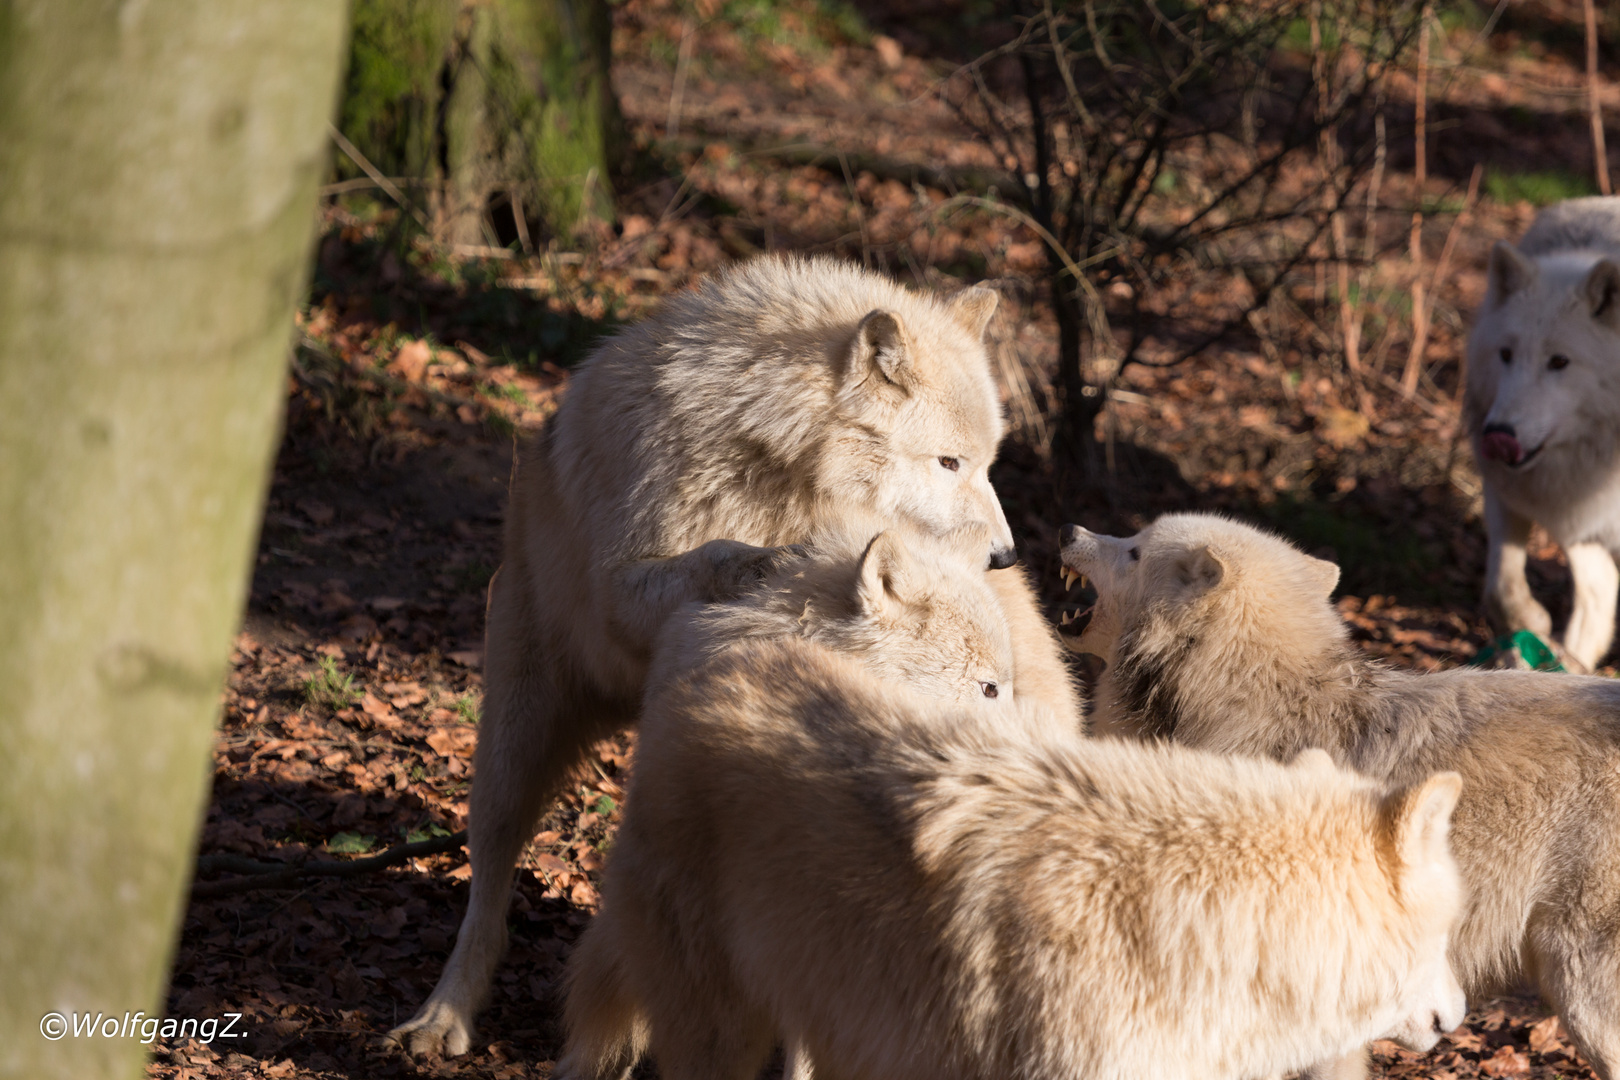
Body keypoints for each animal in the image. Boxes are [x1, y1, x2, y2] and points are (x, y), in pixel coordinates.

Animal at [388, 255, 1075, 1055]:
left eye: (989, 464)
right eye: (948, 461)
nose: (1005, 555)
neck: (776, 465)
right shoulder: (627, 586)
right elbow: (718, 557)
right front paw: (763, 562)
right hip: (518, 731)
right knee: (490, 878)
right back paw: (443, 1014)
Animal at [1477, 191, 1620, 667]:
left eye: (1559, 362)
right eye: (1505, 354)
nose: (1498, 435)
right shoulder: (1513, 493)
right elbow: (1501, 585)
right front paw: (1533, 628)